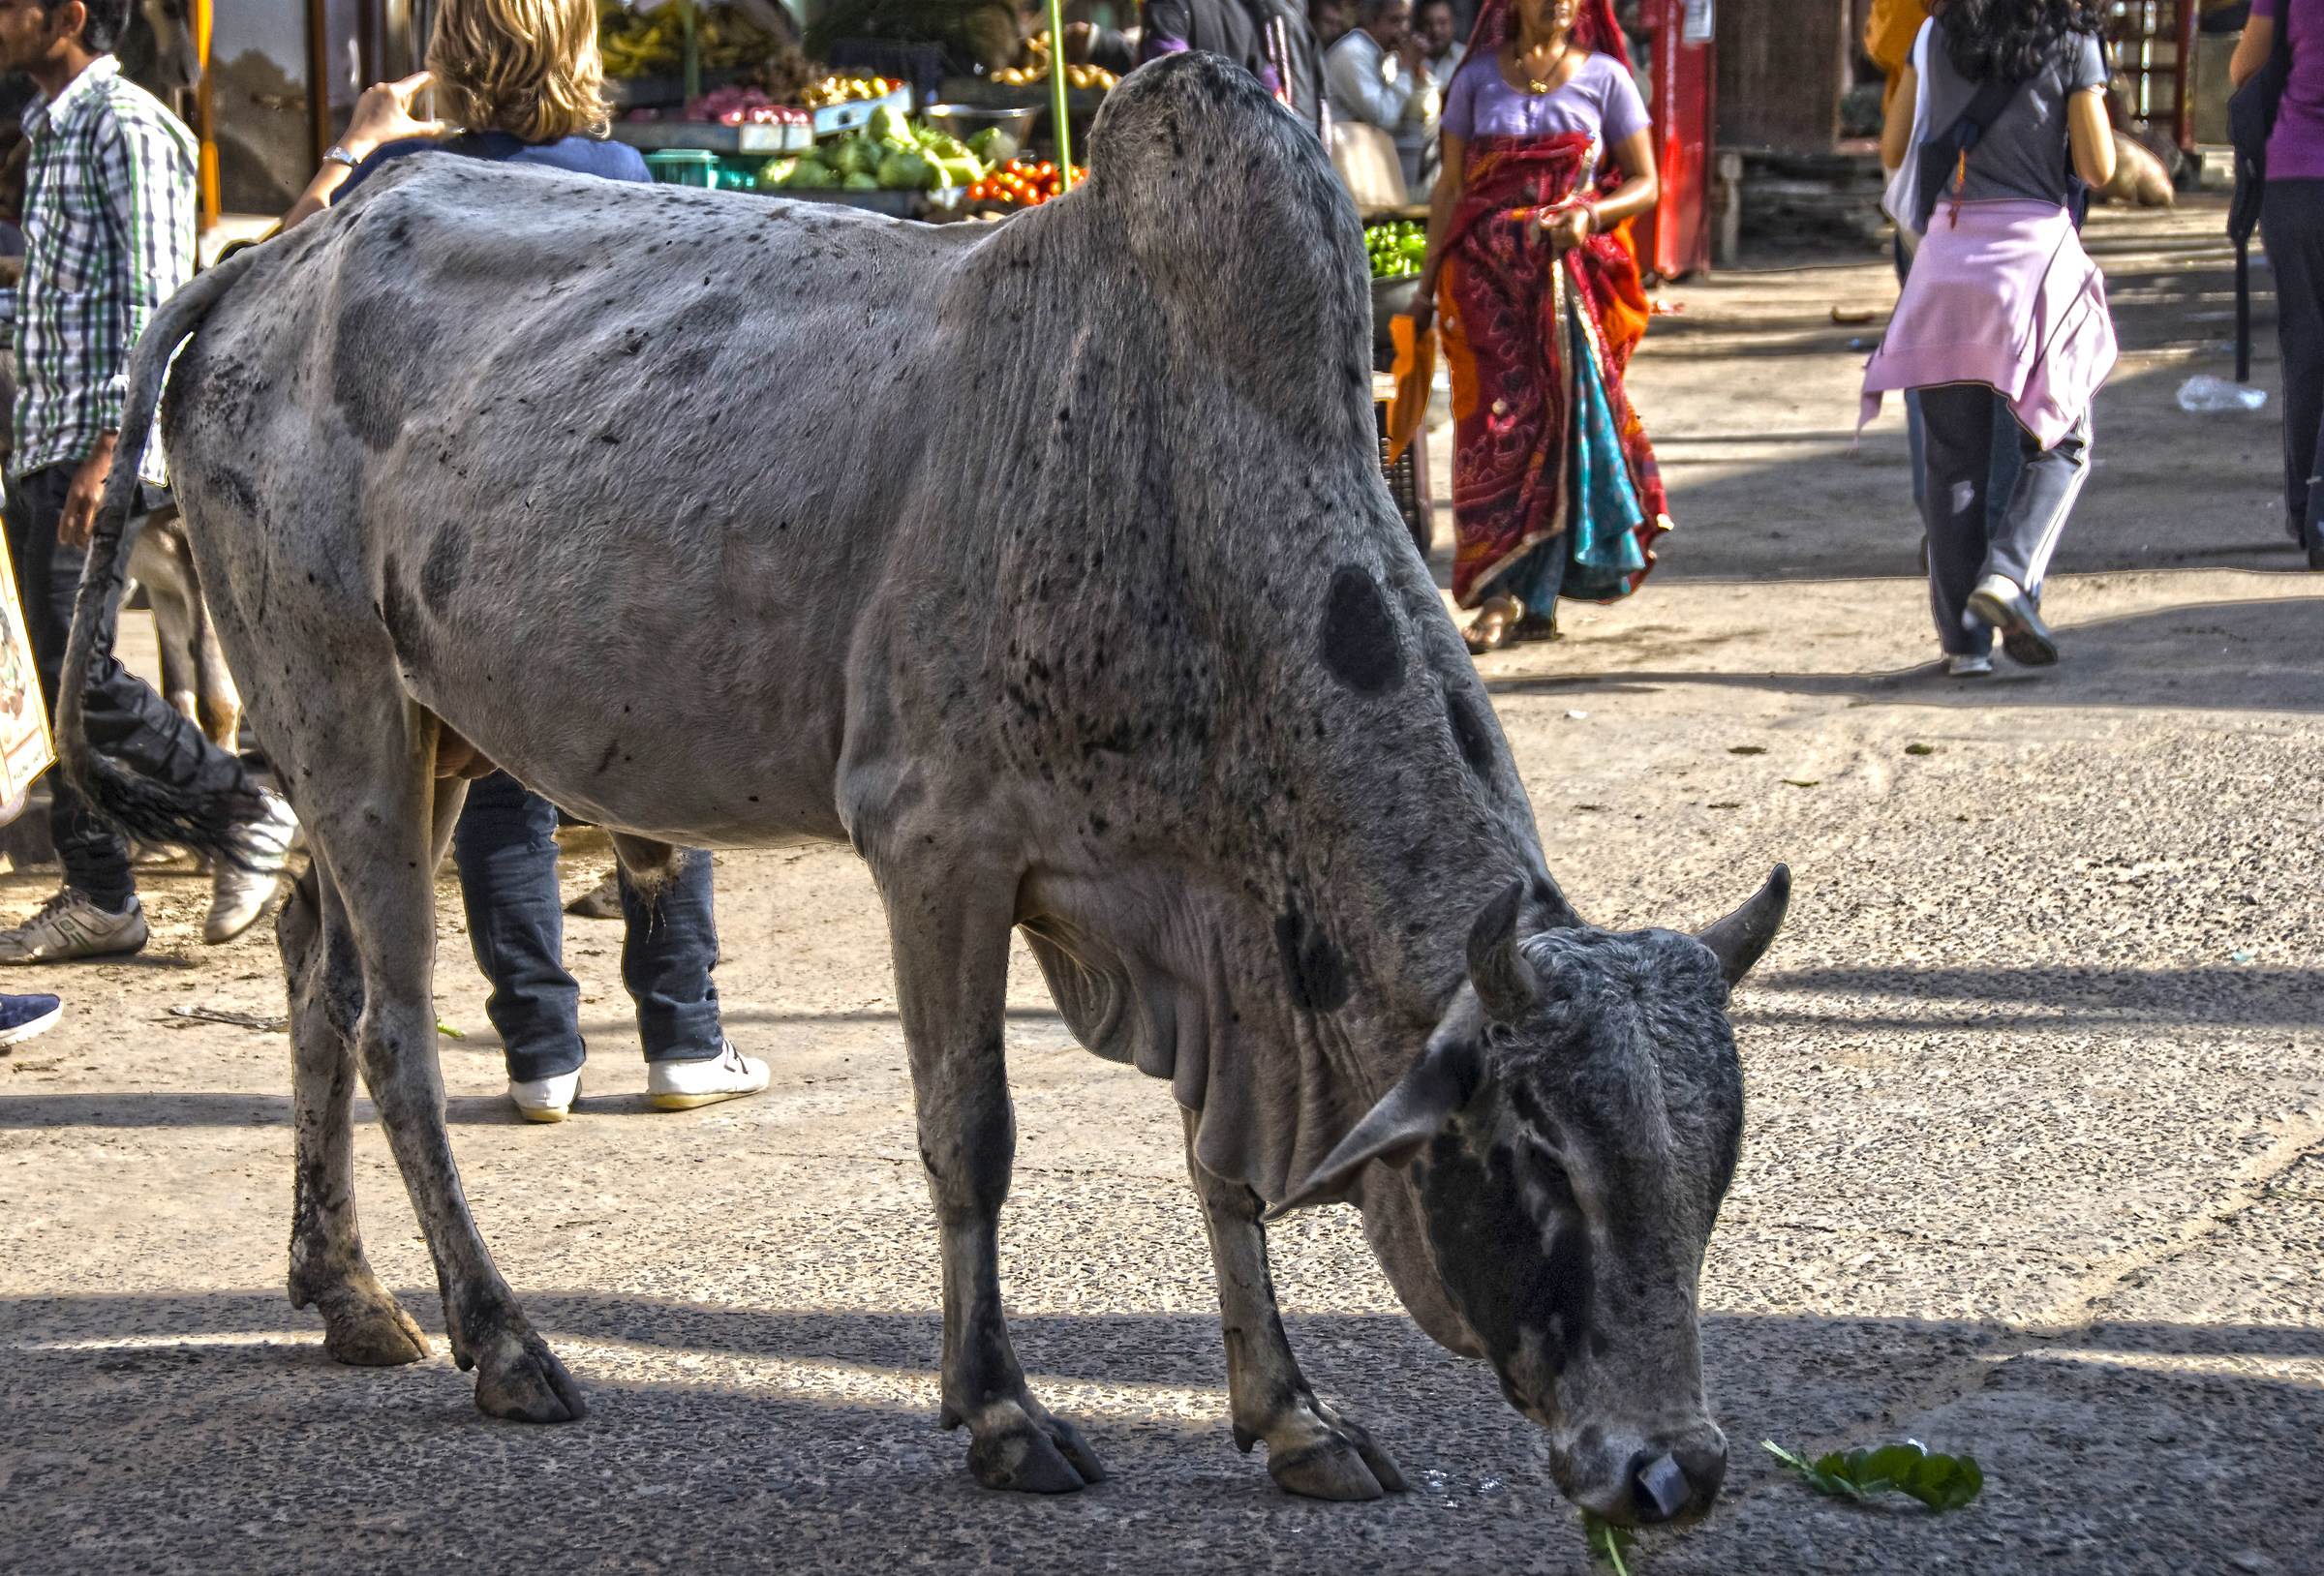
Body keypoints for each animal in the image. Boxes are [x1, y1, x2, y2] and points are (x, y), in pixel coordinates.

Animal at [63, 53, 1785, 1527]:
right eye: (1543, 1166)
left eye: (1713, 1176)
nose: (1674, 1475)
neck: (1178, 491)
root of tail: (268, 263)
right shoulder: (938, 848)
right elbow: (974, 1136)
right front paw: (1005, 1411)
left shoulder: (1207, 924)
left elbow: (1219, 1167)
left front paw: (1293, 1416)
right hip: (340, 711)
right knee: (399, 1041)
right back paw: (505, 1341)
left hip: (421, 739)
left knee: (319, 983)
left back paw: (349, 1296)